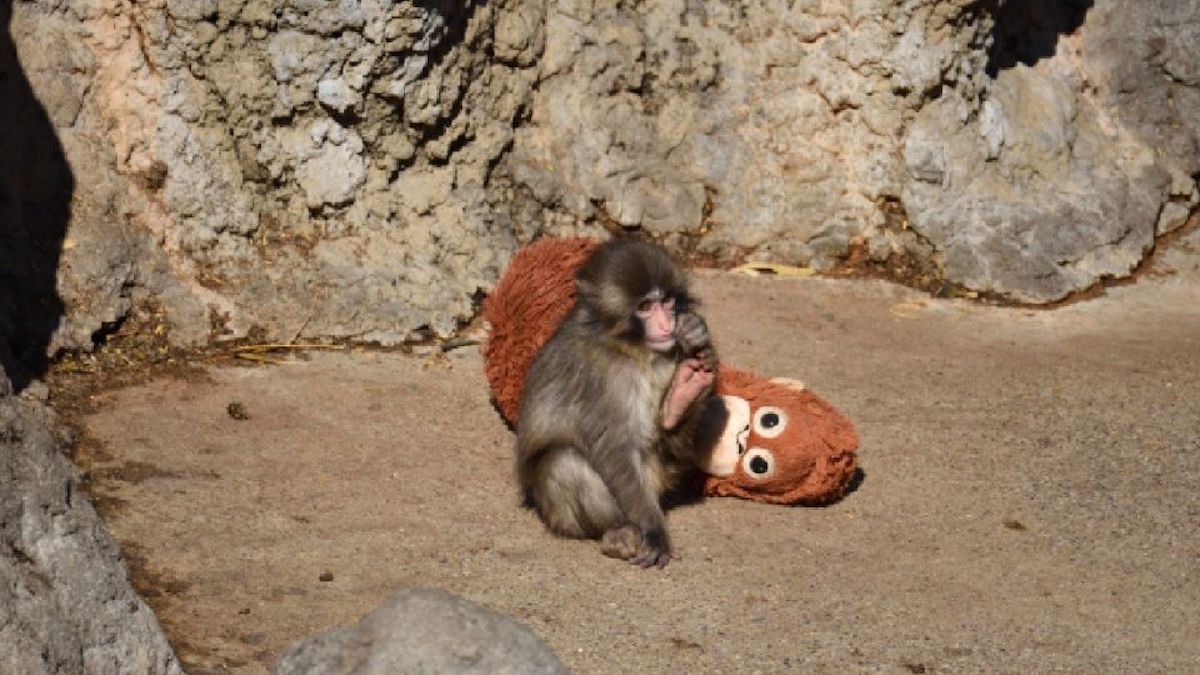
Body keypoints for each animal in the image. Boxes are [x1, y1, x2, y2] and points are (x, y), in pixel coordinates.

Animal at [514, 237, 718, 569]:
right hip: (559, 516)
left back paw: (684, 392)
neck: (630, 347)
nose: (667, 324)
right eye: (645, 307)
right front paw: (654, 532)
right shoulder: (600, 376)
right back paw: (621, 532)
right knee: (563, 460)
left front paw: (695, 335)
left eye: (667, 302)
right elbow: (614, 448)